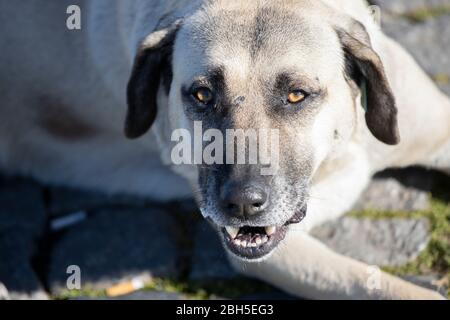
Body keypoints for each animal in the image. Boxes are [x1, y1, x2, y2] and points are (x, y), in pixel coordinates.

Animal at [0, 0, 450, 300]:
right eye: (202, 95)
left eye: (296, 94)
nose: (243, 204)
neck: (337, 152)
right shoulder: (283, 252)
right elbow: (377, 284)